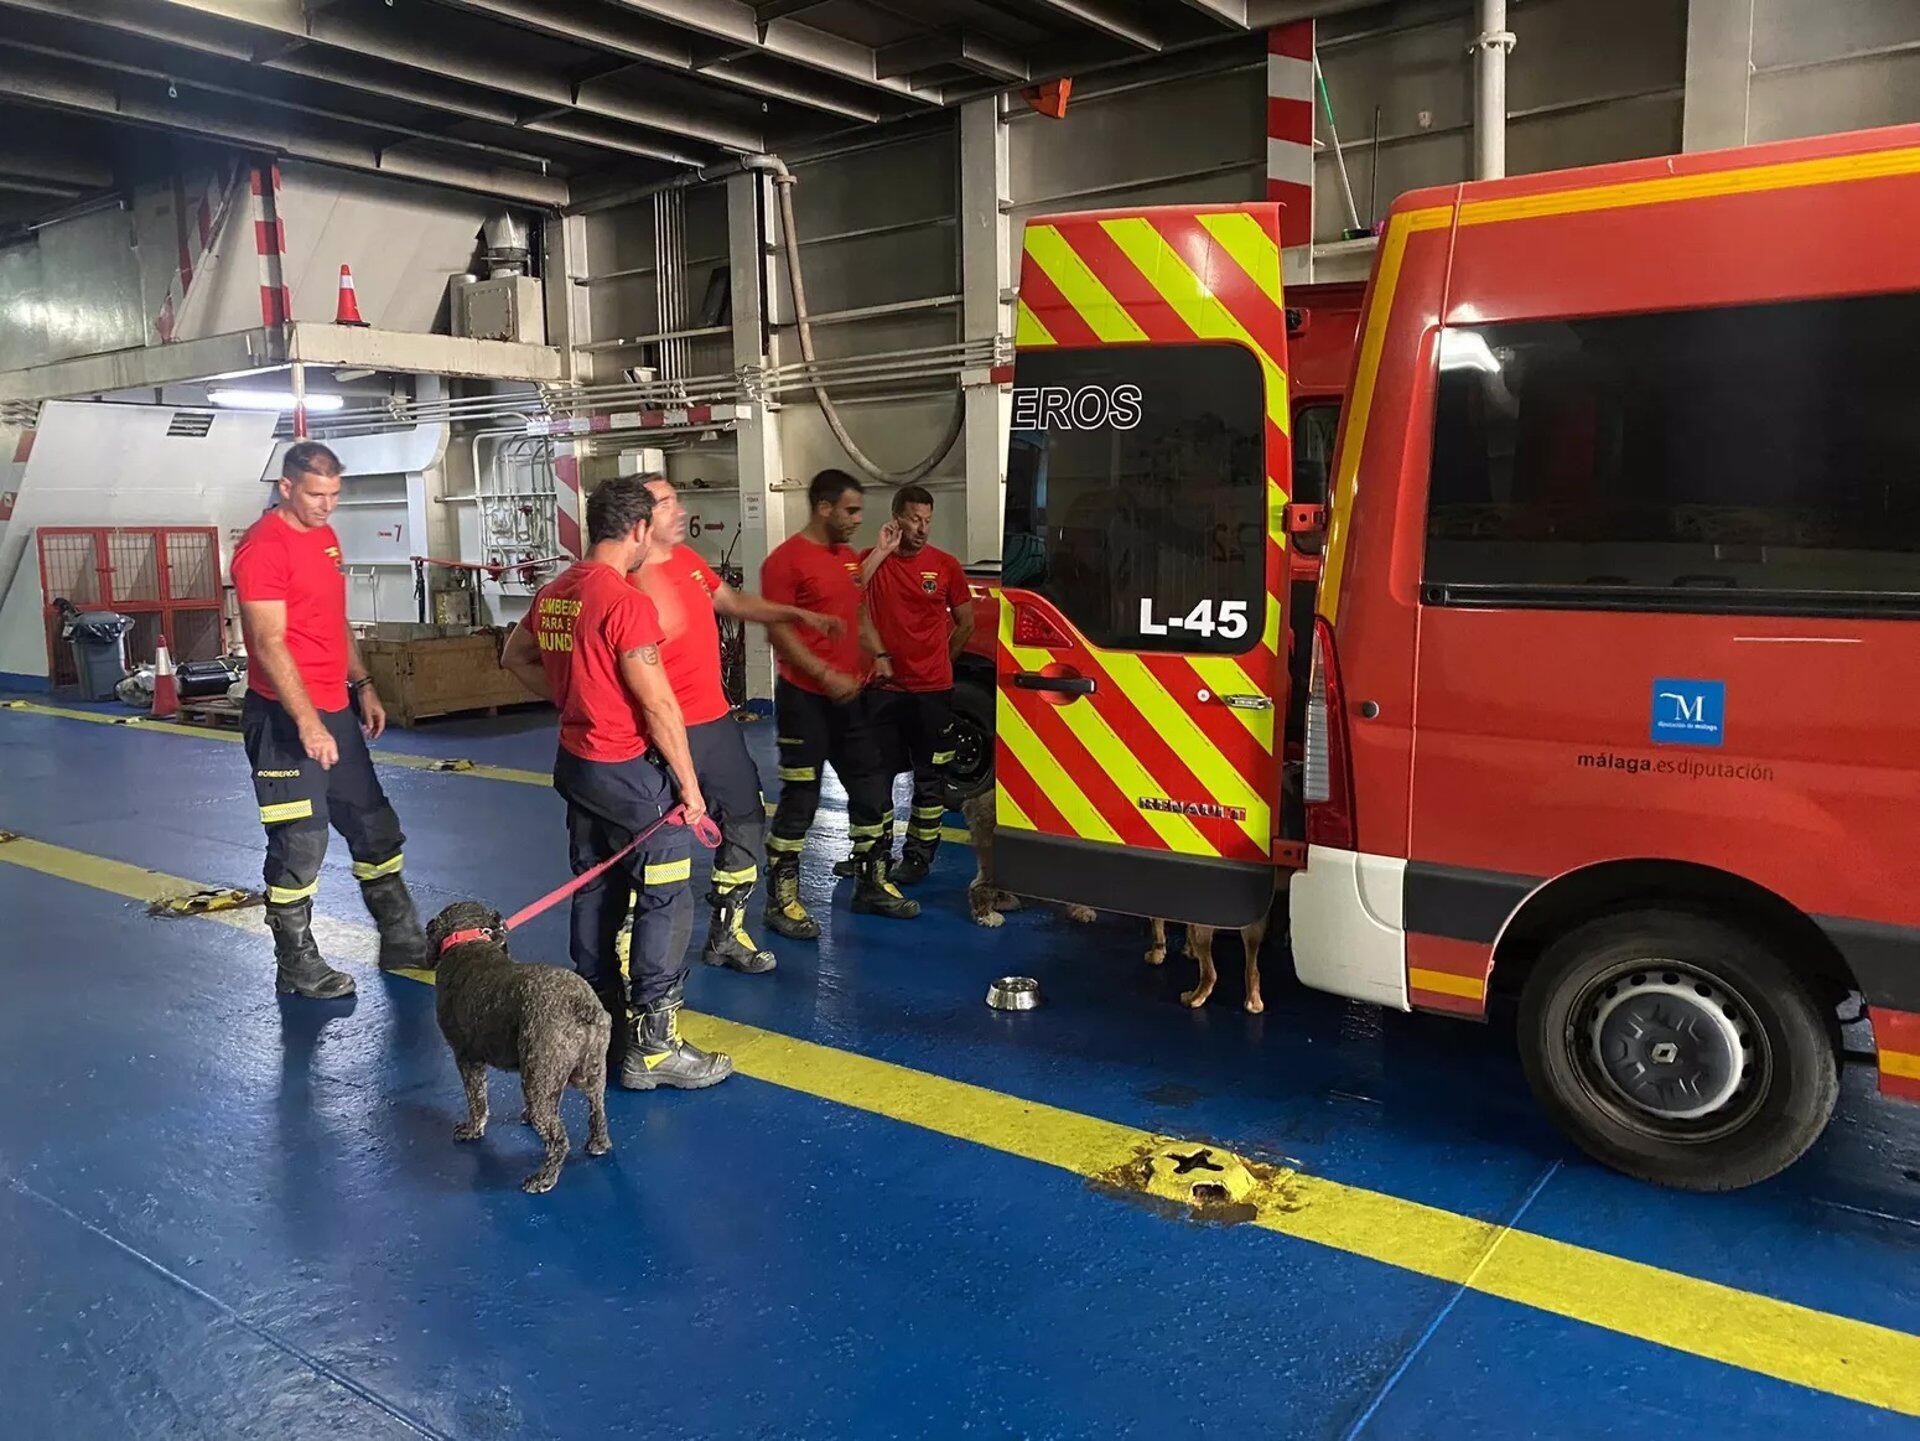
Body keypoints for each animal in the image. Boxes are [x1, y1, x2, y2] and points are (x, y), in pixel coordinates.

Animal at [428, 901, 614, 1197]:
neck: (468, 938)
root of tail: (582, 1006)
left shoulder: (467, 1059)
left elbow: (477, 1101)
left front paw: (471, 1129)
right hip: (588, 1074)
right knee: (597, 1109)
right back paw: (599, 1143)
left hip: (541, 1084)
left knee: (558, 1139)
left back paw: (543, 1178)